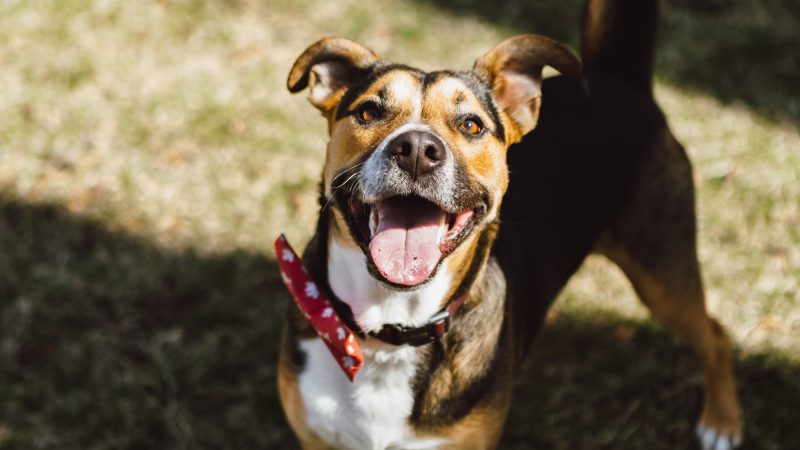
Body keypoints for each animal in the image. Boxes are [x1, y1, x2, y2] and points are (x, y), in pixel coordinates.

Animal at [276, 1, 744, 448]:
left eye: (471, 125)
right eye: (369, 112)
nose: (417, 149)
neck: (389, 331)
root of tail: (618, 79)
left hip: (661, 270)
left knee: (717, 334)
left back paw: (721, 424)